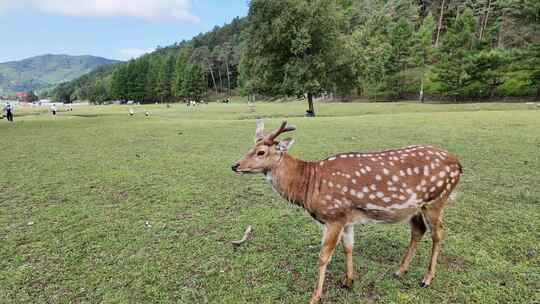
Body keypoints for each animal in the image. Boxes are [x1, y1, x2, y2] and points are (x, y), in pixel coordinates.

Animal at [230, 120, 462, 302]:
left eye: (261, 152)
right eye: (250, 147)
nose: (235, 165)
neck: (309, 186)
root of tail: (459, 165)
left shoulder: (333, 216)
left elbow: (324, 256)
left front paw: (315, 297)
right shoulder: (347, 218)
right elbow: (348, 248)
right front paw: (348, 281)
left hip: (436, 200)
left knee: (438, 233)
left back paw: (427, 279)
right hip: (415, 208)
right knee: (418, 230)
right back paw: (399, 271)